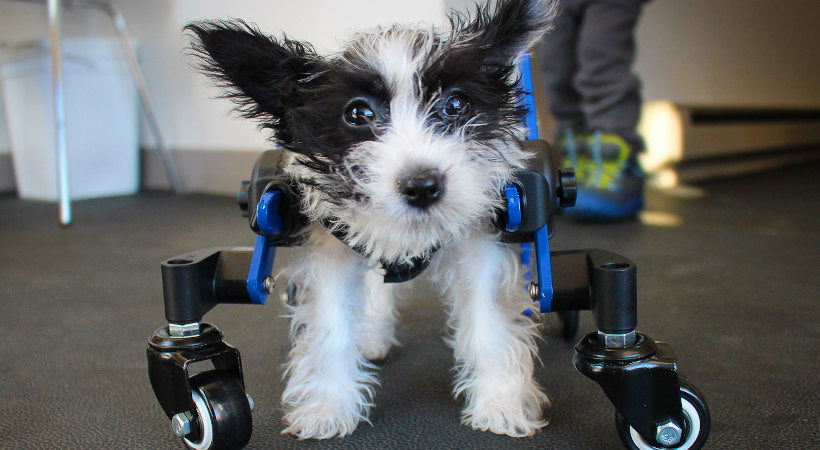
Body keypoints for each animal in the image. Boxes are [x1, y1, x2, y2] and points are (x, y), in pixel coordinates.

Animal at [187, 0, 556, 440]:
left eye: (455, 105)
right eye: (357, 113)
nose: (423, 185)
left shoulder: (477, 247)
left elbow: (489, 325)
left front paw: (501, 401)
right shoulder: (334, 251)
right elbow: (331, 328)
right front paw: (327, 406)